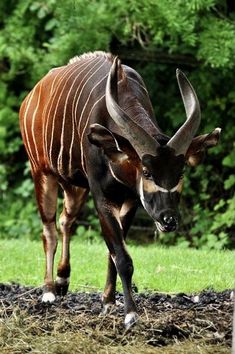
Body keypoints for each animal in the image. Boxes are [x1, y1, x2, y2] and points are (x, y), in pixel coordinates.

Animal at [19, 51, 220, 328]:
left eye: (180, 173)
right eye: (147, 172)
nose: (168, 220)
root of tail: (31, 96)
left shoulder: (130, 201)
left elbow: (113, 252)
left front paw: (107, 302)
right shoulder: (102, 198)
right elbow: (122, 257)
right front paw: (130, 314)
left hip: (74, 187)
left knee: (65, 220)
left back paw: (62, 280)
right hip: (42, 172)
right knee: (48, 229)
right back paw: (49, 291)